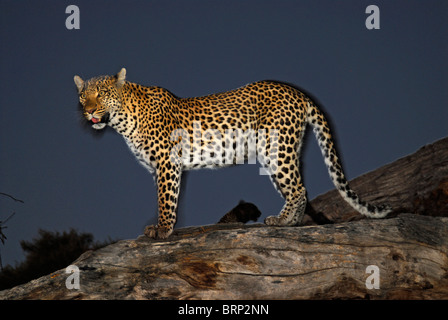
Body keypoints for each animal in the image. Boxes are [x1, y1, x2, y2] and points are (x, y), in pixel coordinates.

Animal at [74, 67, 392, 239]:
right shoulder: (158, 168)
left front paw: (162, 230)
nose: (89, 111)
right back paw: (292, 223)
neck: (123, 119)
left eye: (101, 93)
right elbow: (165, 197)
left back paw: (283, 221)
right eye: (82, 96)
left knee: (298, 188)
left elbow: (166, 199)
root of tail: (298, 92)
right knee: (297, 188)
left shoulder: (167, 163)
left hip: (275, 148)